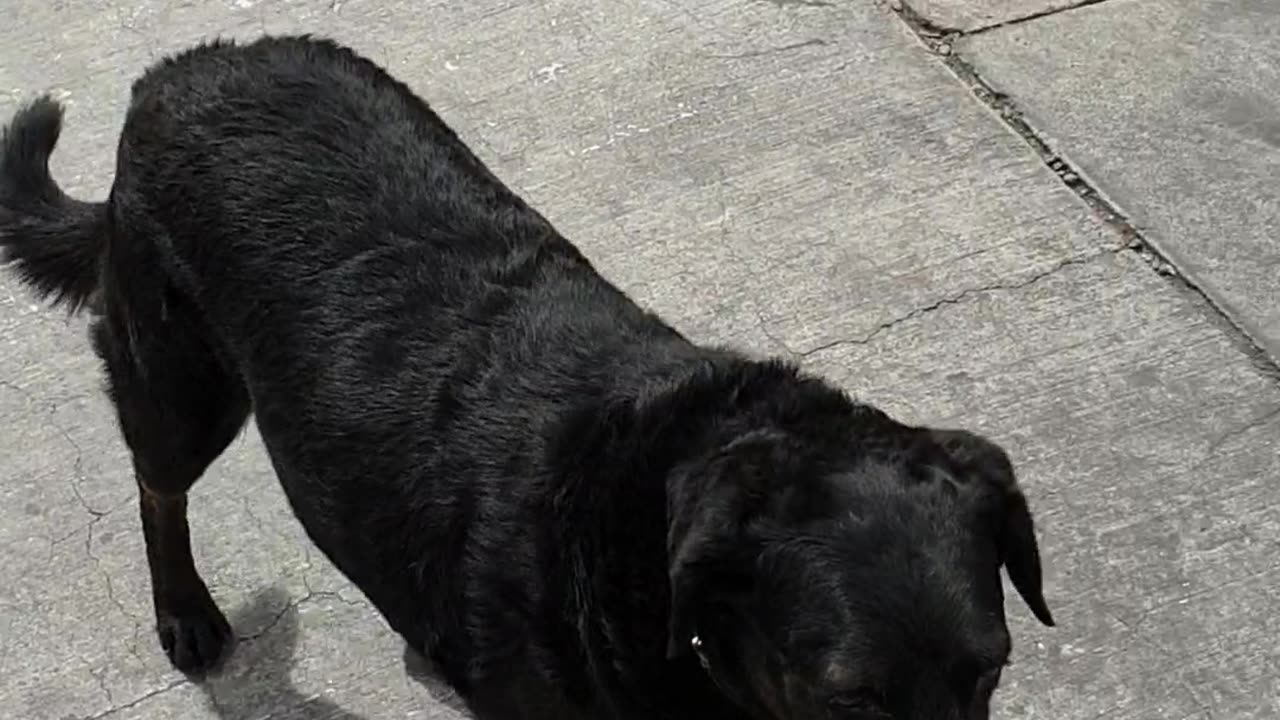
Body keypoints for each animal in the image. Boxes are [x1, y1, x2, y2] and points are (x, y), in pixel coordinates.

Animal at [0, 35, 1054, 717]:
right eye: (852, 701)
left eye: (993, 671)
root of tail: (178, 69)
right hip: (180, 381)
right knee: (157, 486)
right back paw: (184, 610)